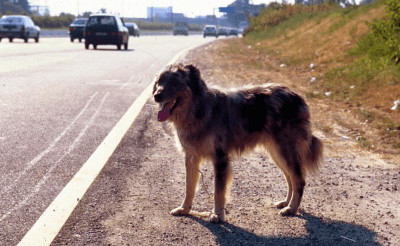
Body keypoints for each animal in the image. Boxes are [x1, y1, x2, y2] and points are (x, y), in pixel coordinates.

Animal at [152, 63, 324, 223]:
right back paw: (286, 203)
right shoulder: (191, 157)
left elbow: (218, 191)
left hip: (285, 151)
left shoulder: (220, 159)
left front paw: (217, 215)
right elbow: (189, 187)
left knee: (299, 180)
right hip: (277, 153)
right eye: (160, 81)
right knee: (290, 179)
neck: (199, 109)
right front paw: (184, 209)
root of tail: (298, 97)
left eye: (175, 82)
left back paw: (291, 209)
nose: (156, 95)